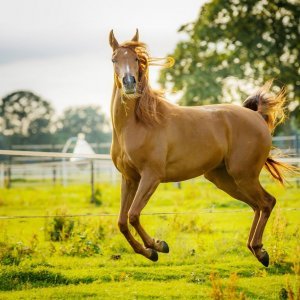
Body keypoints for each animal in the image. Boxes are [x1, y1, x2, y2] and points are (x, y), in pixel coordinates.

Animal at [109, 29, 290, 266]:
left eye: (136, 59)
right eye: (114, 59)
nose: (129, 82)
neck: (137, 123)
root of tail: (256, 116)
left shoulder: (151, 176)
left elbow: (133, 215)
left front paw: (158, 245)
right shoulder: (129, 178)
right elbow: (122, 221)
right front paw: (149, 252)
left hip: (244, 176)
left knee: (267, 202)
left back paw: (260, 251)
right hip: (225, 180)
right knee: (257, 206)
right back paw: (255, 248)